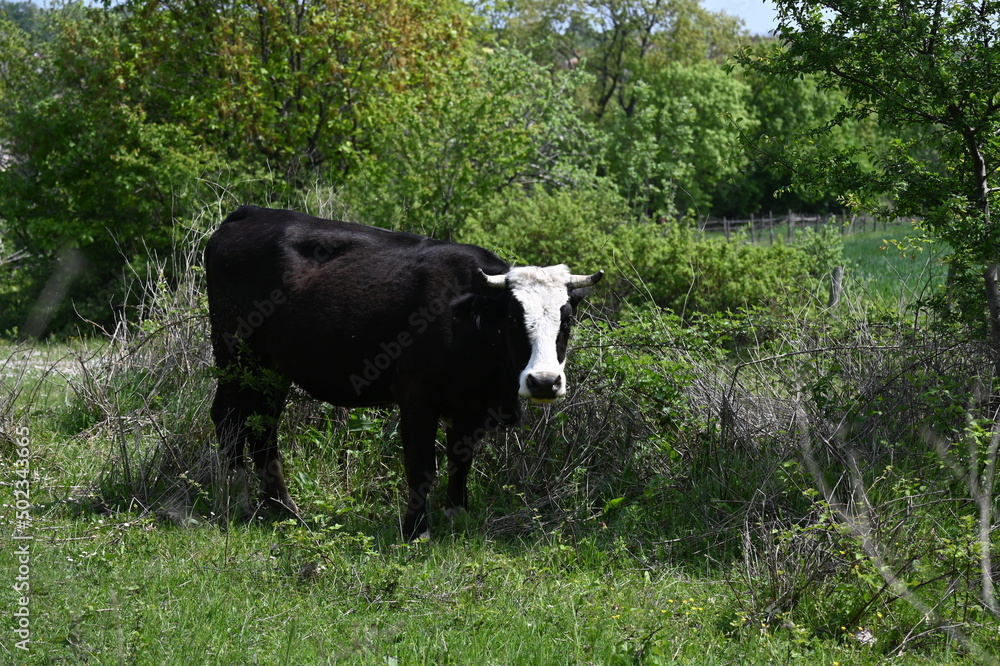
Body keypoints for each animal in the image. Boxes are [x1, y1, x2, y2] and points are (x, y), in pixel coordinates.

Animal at [205, 205, 603, 539]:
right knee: (228, 418)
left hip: (271, 370)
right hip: (235, 358)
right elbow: (421, 465)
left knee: (263, 425)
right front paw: (415, 530)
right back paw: (237, 502)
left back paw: (283, 509)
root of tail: (251, 212)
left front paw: (455, 514)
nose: (545, 382)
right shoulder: (417, 398)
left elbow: (460, 460)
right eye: (511, 318)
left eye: (567, 320)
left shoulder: (471, 406)